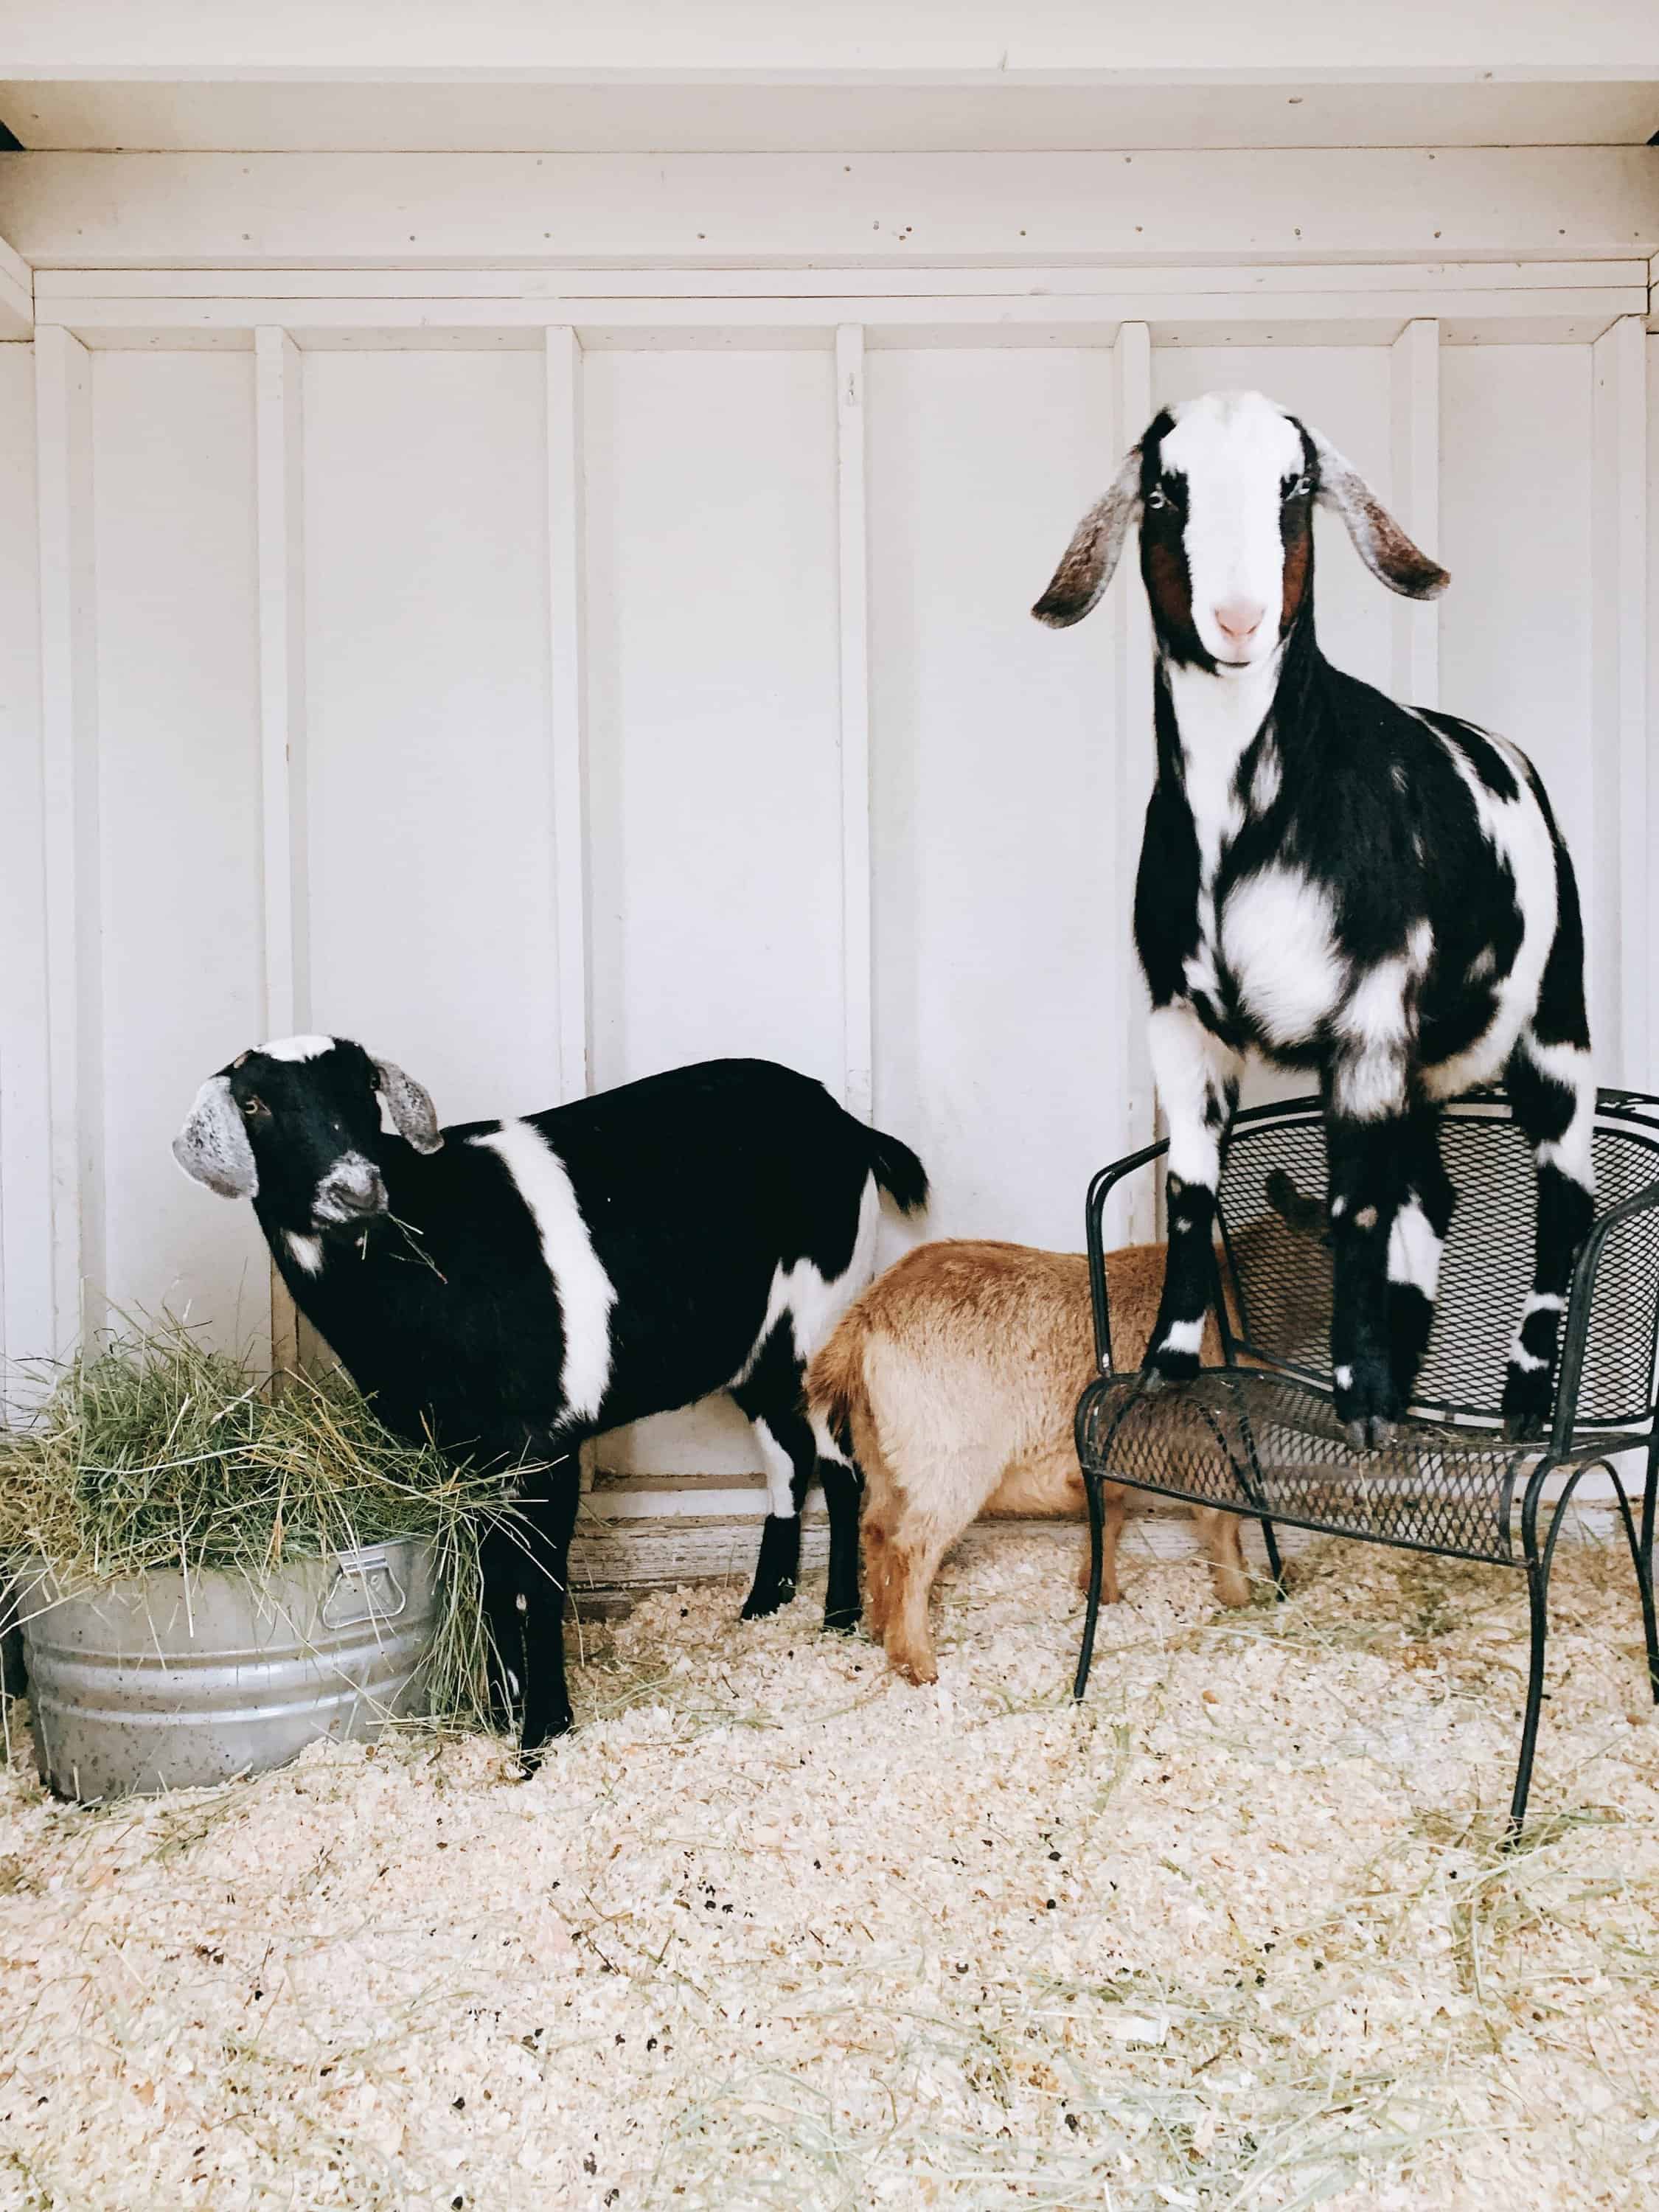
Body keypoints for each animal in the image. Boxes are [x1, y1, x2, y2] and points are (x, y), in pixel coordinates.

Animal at [814, 1239, 1256, 1681]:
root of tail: (868, 1314)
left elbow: (1109, 1519)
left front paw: (1102, 1589)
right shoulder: (1212, 1446)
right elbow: (1222, 1523)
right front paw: (1241, 1595)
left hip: (879, 1454)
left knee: (876, 1528)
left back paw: (879, 1627)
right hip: (950, 1464)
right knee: (912, 1549)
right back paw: (917, 1662)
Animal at [1040, 389, 1601, 1442]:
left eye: (1294, 487)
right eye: (1163, 491)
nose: (1239, 618)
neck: (1250, 817)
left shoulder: (1368, 1015)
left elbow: (1355, 1211)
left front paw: (1363, 1394)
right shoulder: (1180, 1018)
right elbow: (1189, 1190)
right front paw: (1168, 1366)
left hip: (1554, 1020)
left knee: (1566, 1197)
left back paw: (1517, 1397)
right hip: (1423, 1068)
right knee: (1434, 1192)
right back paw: (1414, 1379)